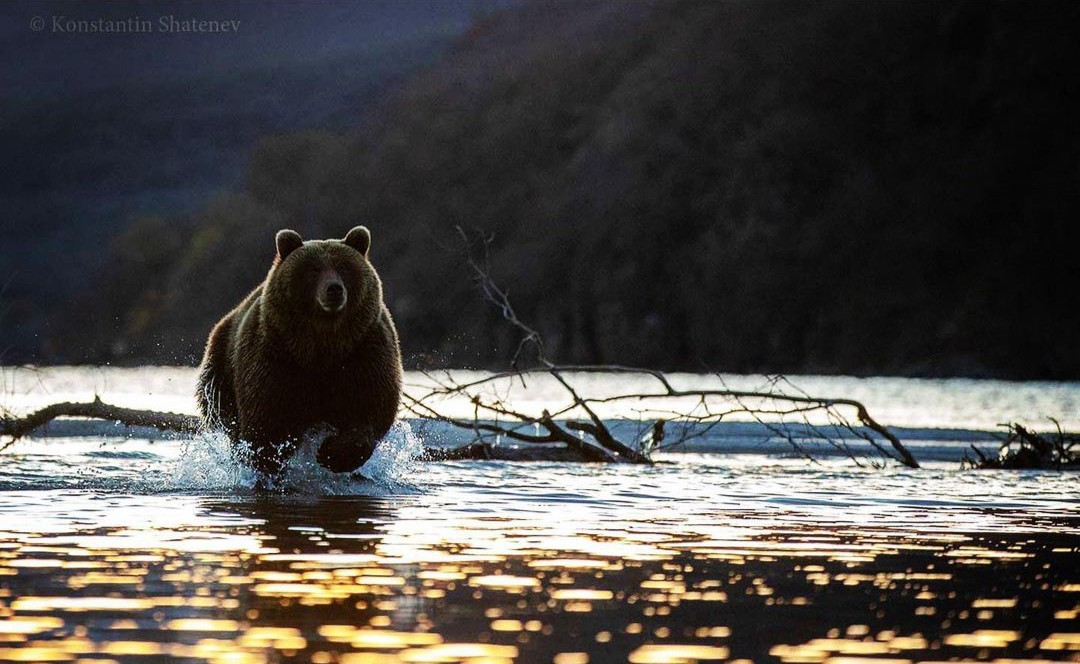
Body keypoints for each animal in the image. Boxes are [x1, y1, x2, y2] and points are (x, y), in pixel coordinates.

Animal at [196, 227, 403, 477]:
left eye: (344, 267)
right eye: (314, 269)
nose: (334, 289)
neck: (322, 346)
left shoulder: (363, 351)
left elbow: (368, 407)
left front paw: (332, 454)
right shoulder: (276, 356)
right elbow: (268, 417)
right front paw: (267, 461)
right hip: (221, 368)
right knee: (225, 415)